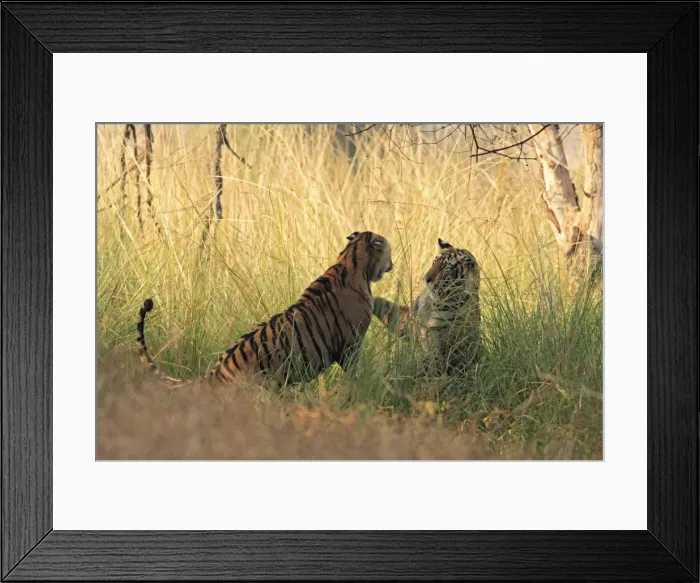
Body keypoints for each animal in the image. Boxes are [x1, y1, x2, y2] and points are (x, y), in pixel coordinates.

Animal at [136, 231, 394, 389]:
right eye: (388, 251)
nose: (392, 264)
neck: (351, 259)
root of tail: (215, 373)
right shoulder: (351, 346)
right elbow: (353, 373)